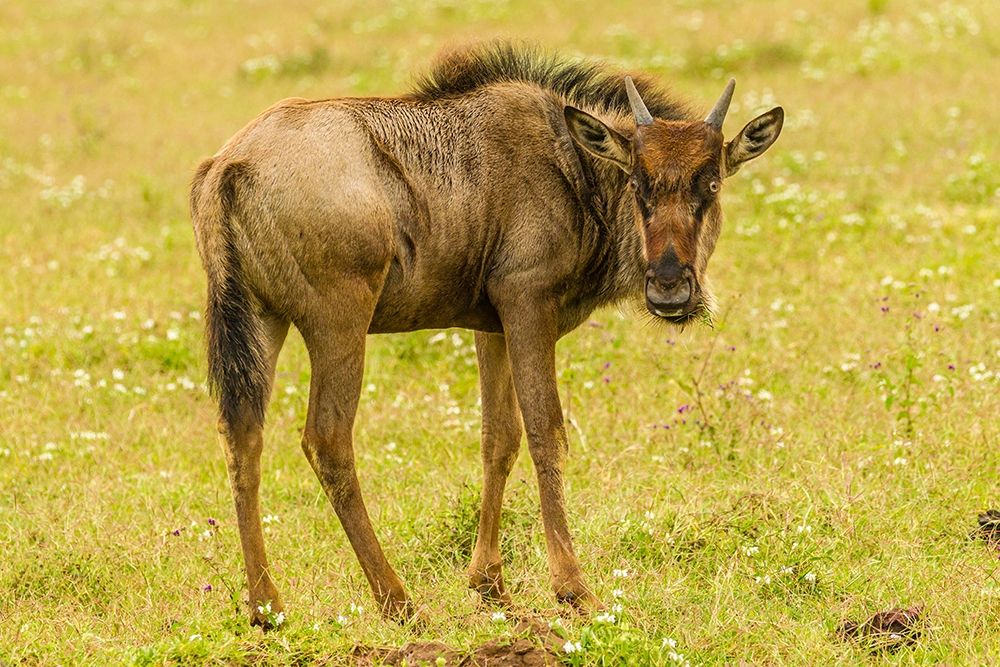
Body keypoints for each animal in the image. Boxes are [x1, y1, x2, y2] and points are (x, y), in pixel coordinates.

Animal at [190, 43, 783, 627]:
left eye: (711, 184)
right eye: (638, 184)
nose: (669, 289)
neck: (573, 169)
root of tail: (229, 165)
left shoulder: (491, 326)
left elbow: (499, 439)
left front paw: (489, 583)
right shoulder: (527, 303)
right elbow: (546, 433)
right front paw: (573, 588)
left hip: (263, 320)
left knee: (242, 436)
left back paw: (266, 605)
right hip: (338, 322)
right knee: (328, 441)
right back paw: (397, 601)